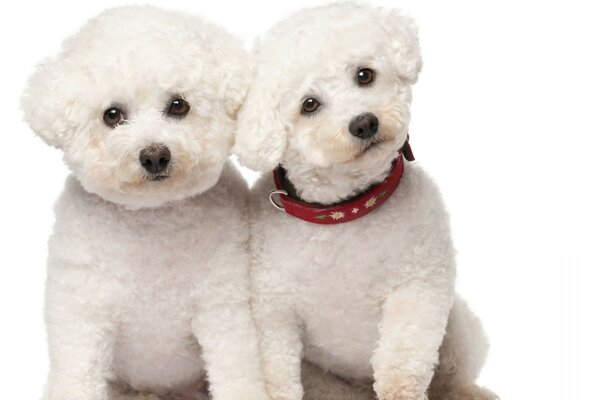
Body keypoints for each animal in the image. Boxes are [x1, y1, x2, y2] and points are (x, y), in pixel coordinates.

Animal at [21, 6, 268, 400]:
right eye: (112, 115)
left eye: (179, 105)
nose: (154, 156)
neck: (152, 219)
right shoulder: (82, 317)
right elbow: (76, 373)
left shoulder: (224, 309)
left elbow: (238, 373)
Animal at [232, 3, 494, 400]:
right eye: (309, 105)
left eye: (364, 75)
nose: (364, 122)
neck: (345, 213)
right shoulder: (273, 311)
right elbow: (276, 374)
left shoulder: (418, 290)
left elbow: (401, 367)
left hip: (458, 331)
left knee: (452, 377)